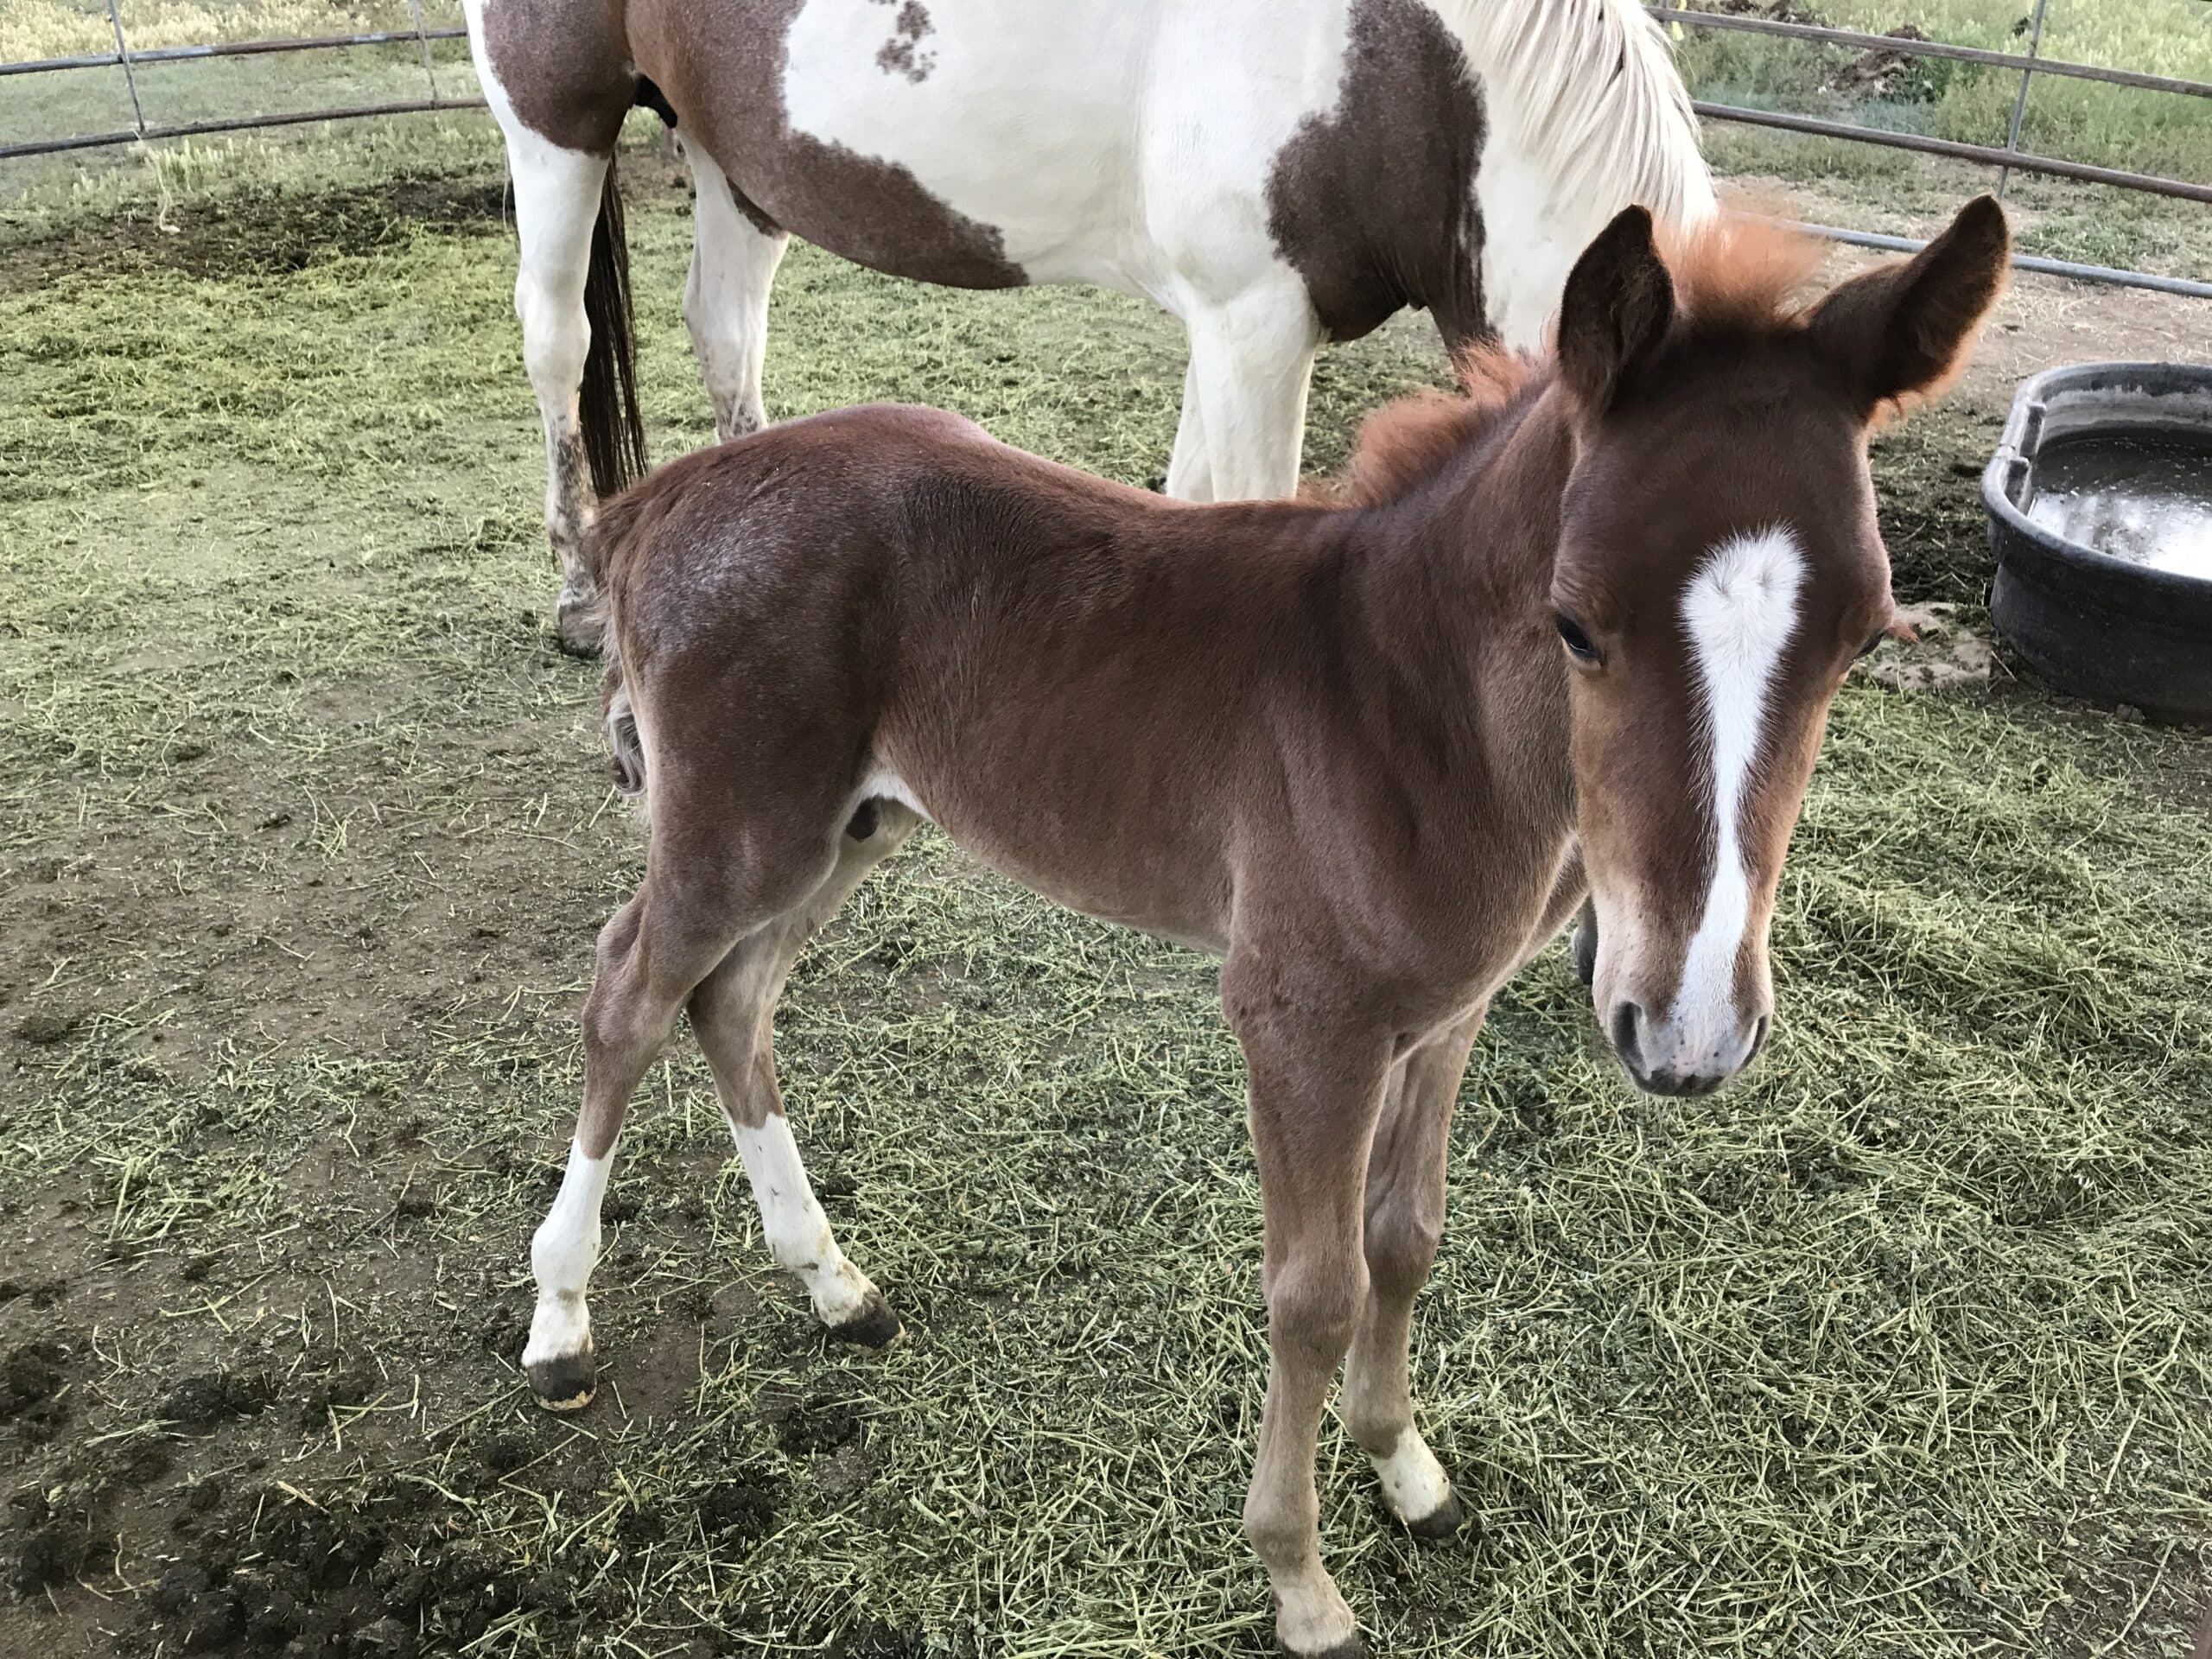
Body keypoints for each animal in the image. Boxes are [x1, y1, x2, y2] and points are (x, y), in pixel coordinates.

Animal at [458, 0, 1717, 651]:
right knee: (557, 342)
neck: (1406, 65)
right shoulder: (1257, 323)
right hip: (555, 122)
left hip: (735, 162)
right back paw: (580, 597)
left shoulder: (1230, 325)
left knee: (725, 328)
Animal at [513, 197, 2010, 1653]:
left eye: (1863, 640)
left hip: (851, 829)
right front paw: (1302, 1586)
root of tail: (652, 503)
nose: (1689, 1033)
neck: (1410, 703)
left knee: (731, 1002)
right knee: (627, 994)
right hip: (741, 832)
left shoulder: (1444, 1015)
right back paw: (563, 1322)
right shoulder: (1303, 1024)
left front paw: (1409, 1474)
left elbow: (1408, 1238)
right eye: (1577, 625)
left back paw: (835, 1285)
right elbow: (1316, 1289)